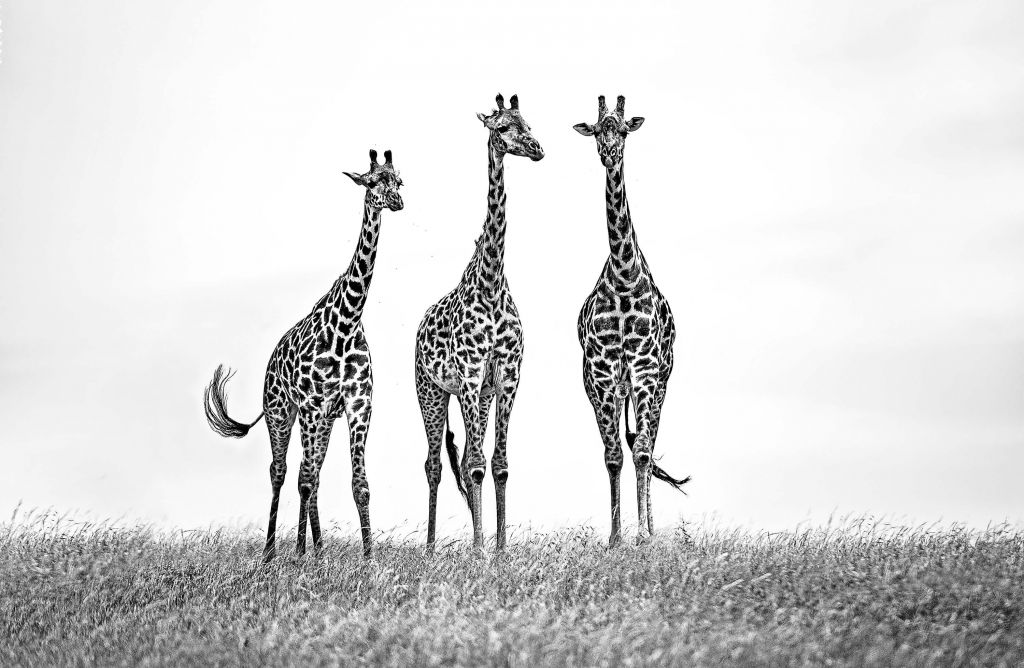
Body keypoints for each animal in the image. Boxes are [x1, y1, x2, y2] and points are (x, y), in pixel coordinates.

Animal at [203, 148, 403, 561]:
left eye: (399, 180)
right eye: (373, 181)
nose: (397, 201)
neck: (347, 320)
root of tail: (270, 361)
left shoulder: (358, 405)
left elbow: (359, 484)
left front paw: (369, 558)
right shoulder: (311, 405)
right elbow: (304, 479)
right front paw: (297, 555)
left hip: (322, 421)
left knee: (311, 473)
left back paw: (319, 548)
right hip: (281, 413)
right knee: (282, 472)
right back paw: (272, 552)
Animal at [413, 93, 544, 553]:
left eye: (528, 122)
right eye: (502, 128)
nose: (538, 149)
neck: (490, 284)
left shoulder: (506, 376)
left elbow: (498, 463)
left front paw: (500, 547)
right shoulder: (469, 374)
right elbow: (472, 464)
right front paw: (480, 549)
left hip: (478, 397)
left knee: (471, 456)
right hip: (431, 391)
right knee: (434, 463)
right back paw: (431, 547)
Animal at [573, 96, 692, 545]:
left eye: (623, 130)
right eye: (596, 130)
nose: (609, 153)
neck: (624, 276)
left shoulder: (645, 368)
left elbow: (641, 451)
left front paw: (642, 535)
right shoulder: (603, 373)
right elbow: (613, 456)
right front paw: (615, 537)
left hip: (661, 382)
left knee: (648, 443)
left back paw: (652, 528)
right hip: (610, 388)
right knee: (628, 445)